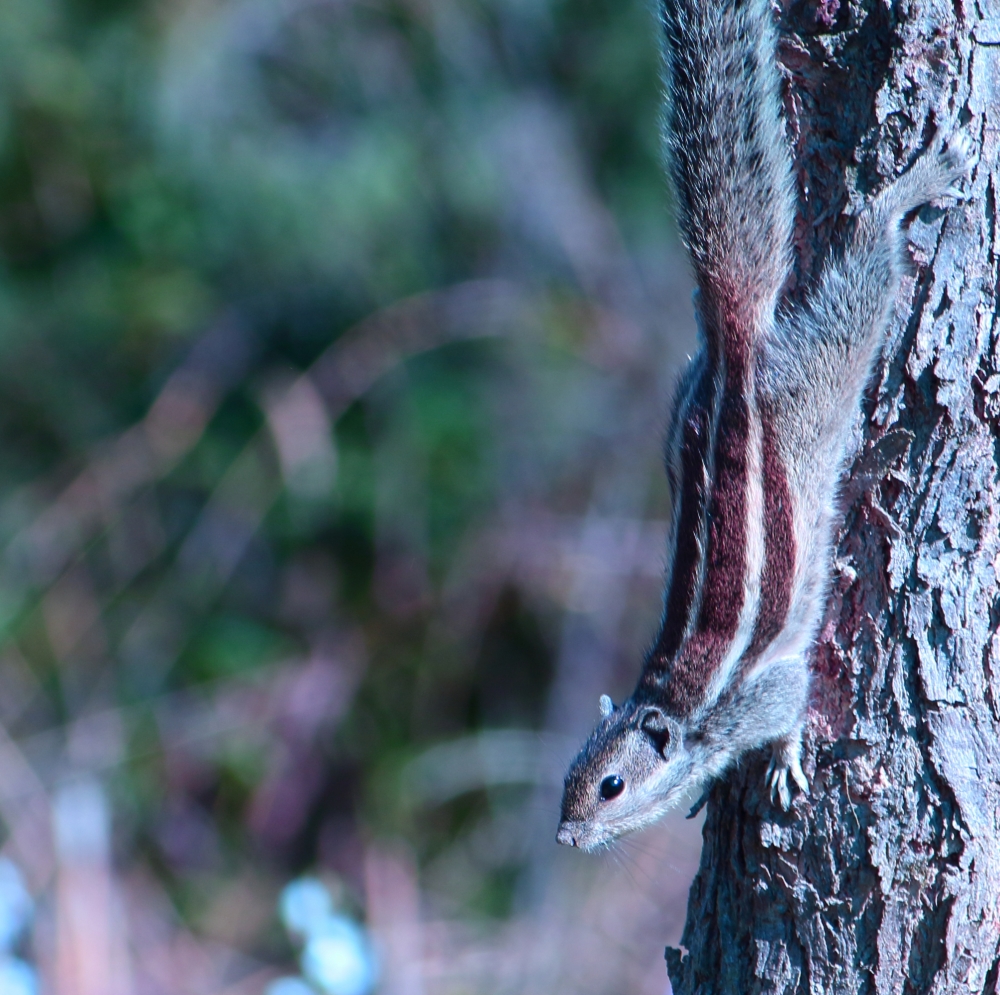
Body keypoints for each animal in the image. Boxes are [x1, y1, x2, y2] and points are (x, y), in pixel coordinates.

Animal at [556, 0, 973, 851]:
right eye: (569, 776)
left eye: (613, 785)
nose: (566, 834)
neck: (679, 710)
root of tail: (734, 340)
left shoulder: (766, 691)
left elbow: (791, 708)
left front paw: (781, 764)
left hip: (826, 366)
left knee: (869, 262)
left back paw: (908, 190)